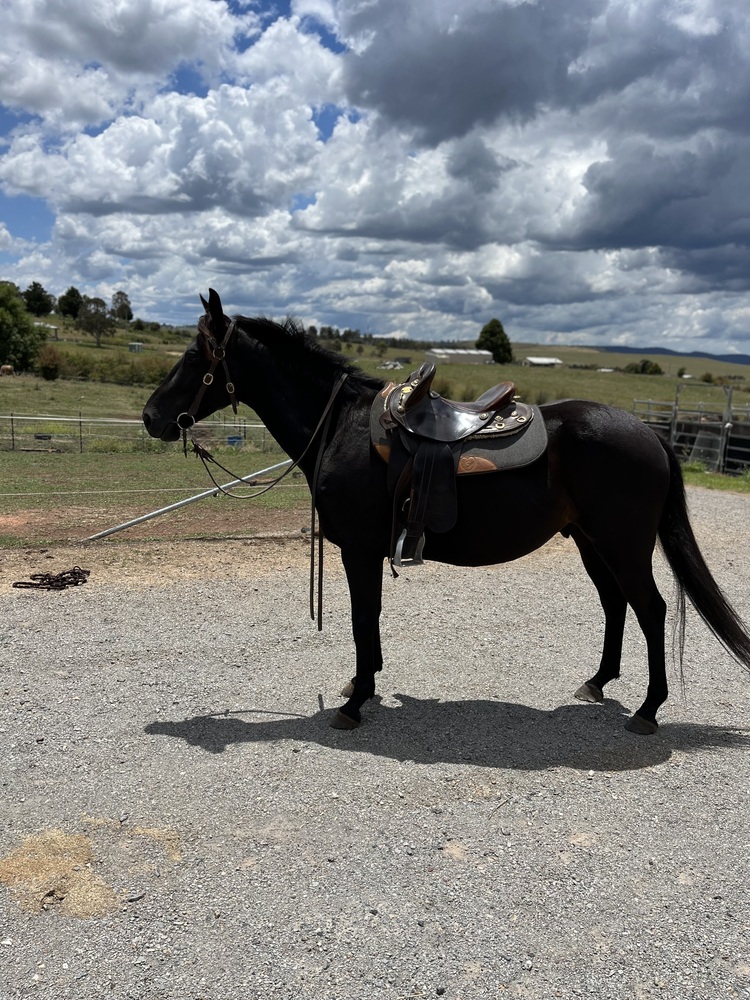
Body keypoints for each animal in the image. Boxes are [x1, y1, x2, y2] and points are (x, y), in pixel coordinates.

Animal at [142, 289, 750, 735]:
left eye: (195, 357)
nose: (151, 416)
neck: (340, 424)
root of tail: (650, 432)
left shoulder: (360, 550)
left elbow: (363, 619)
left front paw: (355, 701)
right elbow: (370, 620)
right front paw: (362, 686)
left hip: (623, 544)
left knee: (651, 610)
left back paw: (648, 710)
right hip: (589, 541)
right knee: (615, 603)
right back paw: (597, 683)